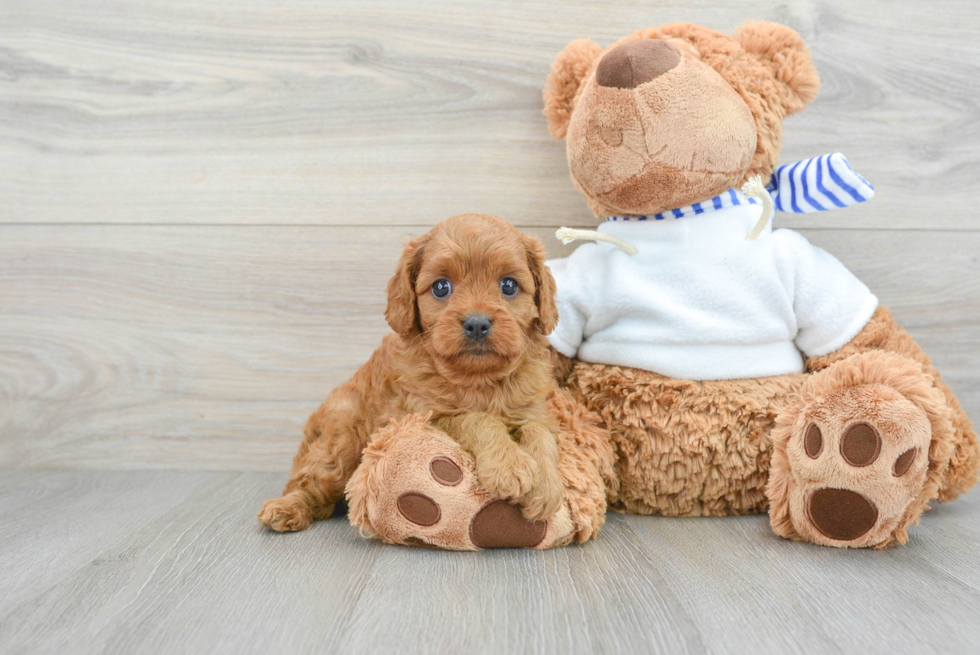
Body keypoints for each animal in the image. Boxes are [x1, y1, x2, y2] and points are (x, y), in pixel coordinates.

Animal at [258, 215, 568, 532]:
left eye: (508, 285)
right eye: (441, 287)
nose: (477, 324)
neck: (478, 379)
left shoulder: (533, 409)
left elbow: (538, 432)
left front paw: (545, 487)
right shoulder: (427, 416)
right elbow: (478, 419)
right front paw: (509, 466)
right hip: (342, 439)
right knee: (312, 482)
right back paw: (286, 508)